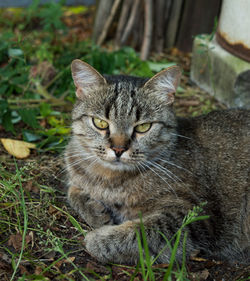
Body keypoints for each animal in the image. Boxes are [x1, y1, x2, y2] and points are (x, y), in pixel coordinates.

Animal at [65, 59, 250, 262]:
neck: (110, 180)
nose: (119, 149)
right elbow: (72, 192)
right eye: (101, 123)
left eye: (143, 127)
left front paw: (97, 239)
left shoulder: (195, 216)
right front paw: (94, 210)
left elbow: (142, 233)